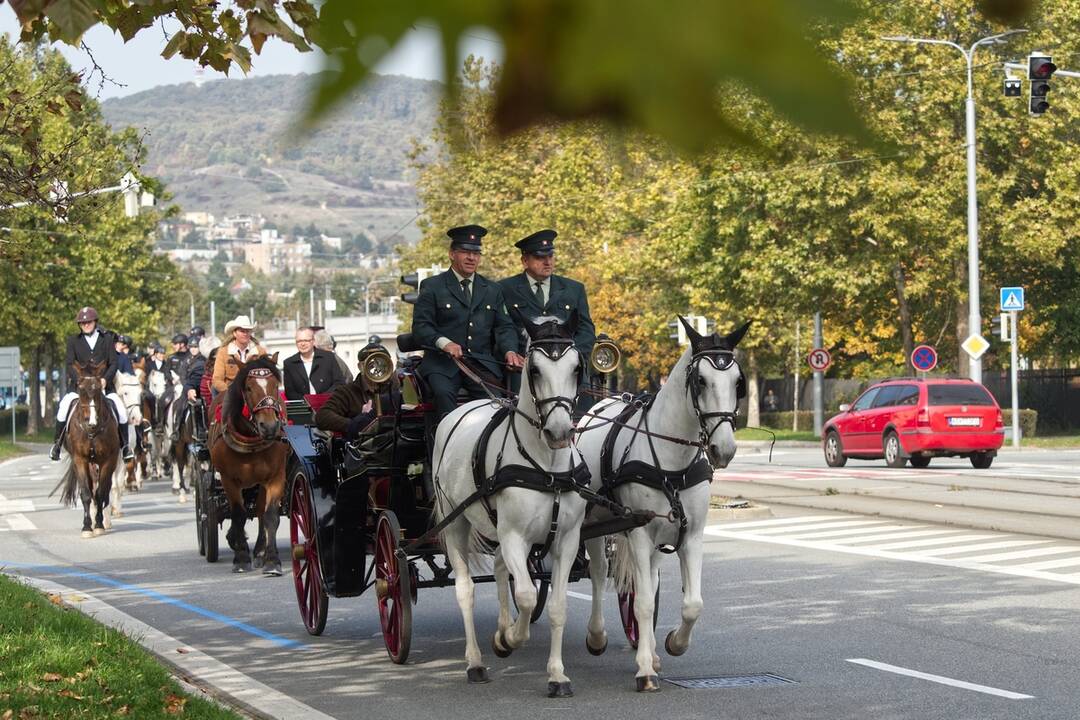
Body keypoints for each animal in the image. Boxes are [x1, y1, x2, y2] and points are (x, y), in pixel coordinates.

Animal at [54, 362, 120, 537]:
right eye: (81, 390)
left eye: (98, 390)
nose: (91, 422)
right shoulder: (80, 460)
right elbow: (86, 494)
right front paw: (87, 527)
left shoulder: (108, 461)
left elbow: (100, 493)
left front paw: (98, 525)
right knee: (90, 489)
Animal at [207, 354, 287, 574]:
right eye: (249, 388)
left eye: (275, 385)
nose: (270, 426)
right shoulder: (229, 480)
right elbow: (238, 514)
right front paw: (241, 557)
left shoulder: (276, 476)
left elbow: (270, 515)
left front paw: (272, 560)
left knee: (259, 510)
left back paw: (259, 550)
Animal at [429, 315, 587, 699]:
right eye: (535, 369)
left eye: (577, 368)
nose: (560, 432)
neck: (547, 467)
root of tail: (462, 407)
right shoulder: (515, 536)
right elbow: (527, 595)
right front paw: (511, 639)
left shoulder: (566, 541)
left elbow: (557, 606)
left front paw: (557, 675)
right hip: (456, 524)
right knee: (466, 590)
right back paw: (475, 662)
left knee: (501, 568)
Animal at [578, 317, 747, 690]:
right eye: (701, 380)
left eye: (737, 382)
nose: (724, 450)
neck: (672, 462)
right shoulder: (638, 534)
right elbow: (641, 603)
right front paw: (644, 670)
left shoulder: (692, 535)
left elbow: (692, 603)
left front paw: (673, 644)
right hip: (594, 524)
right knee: (598, 573)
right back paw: (596, 637)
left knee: (650, 578)